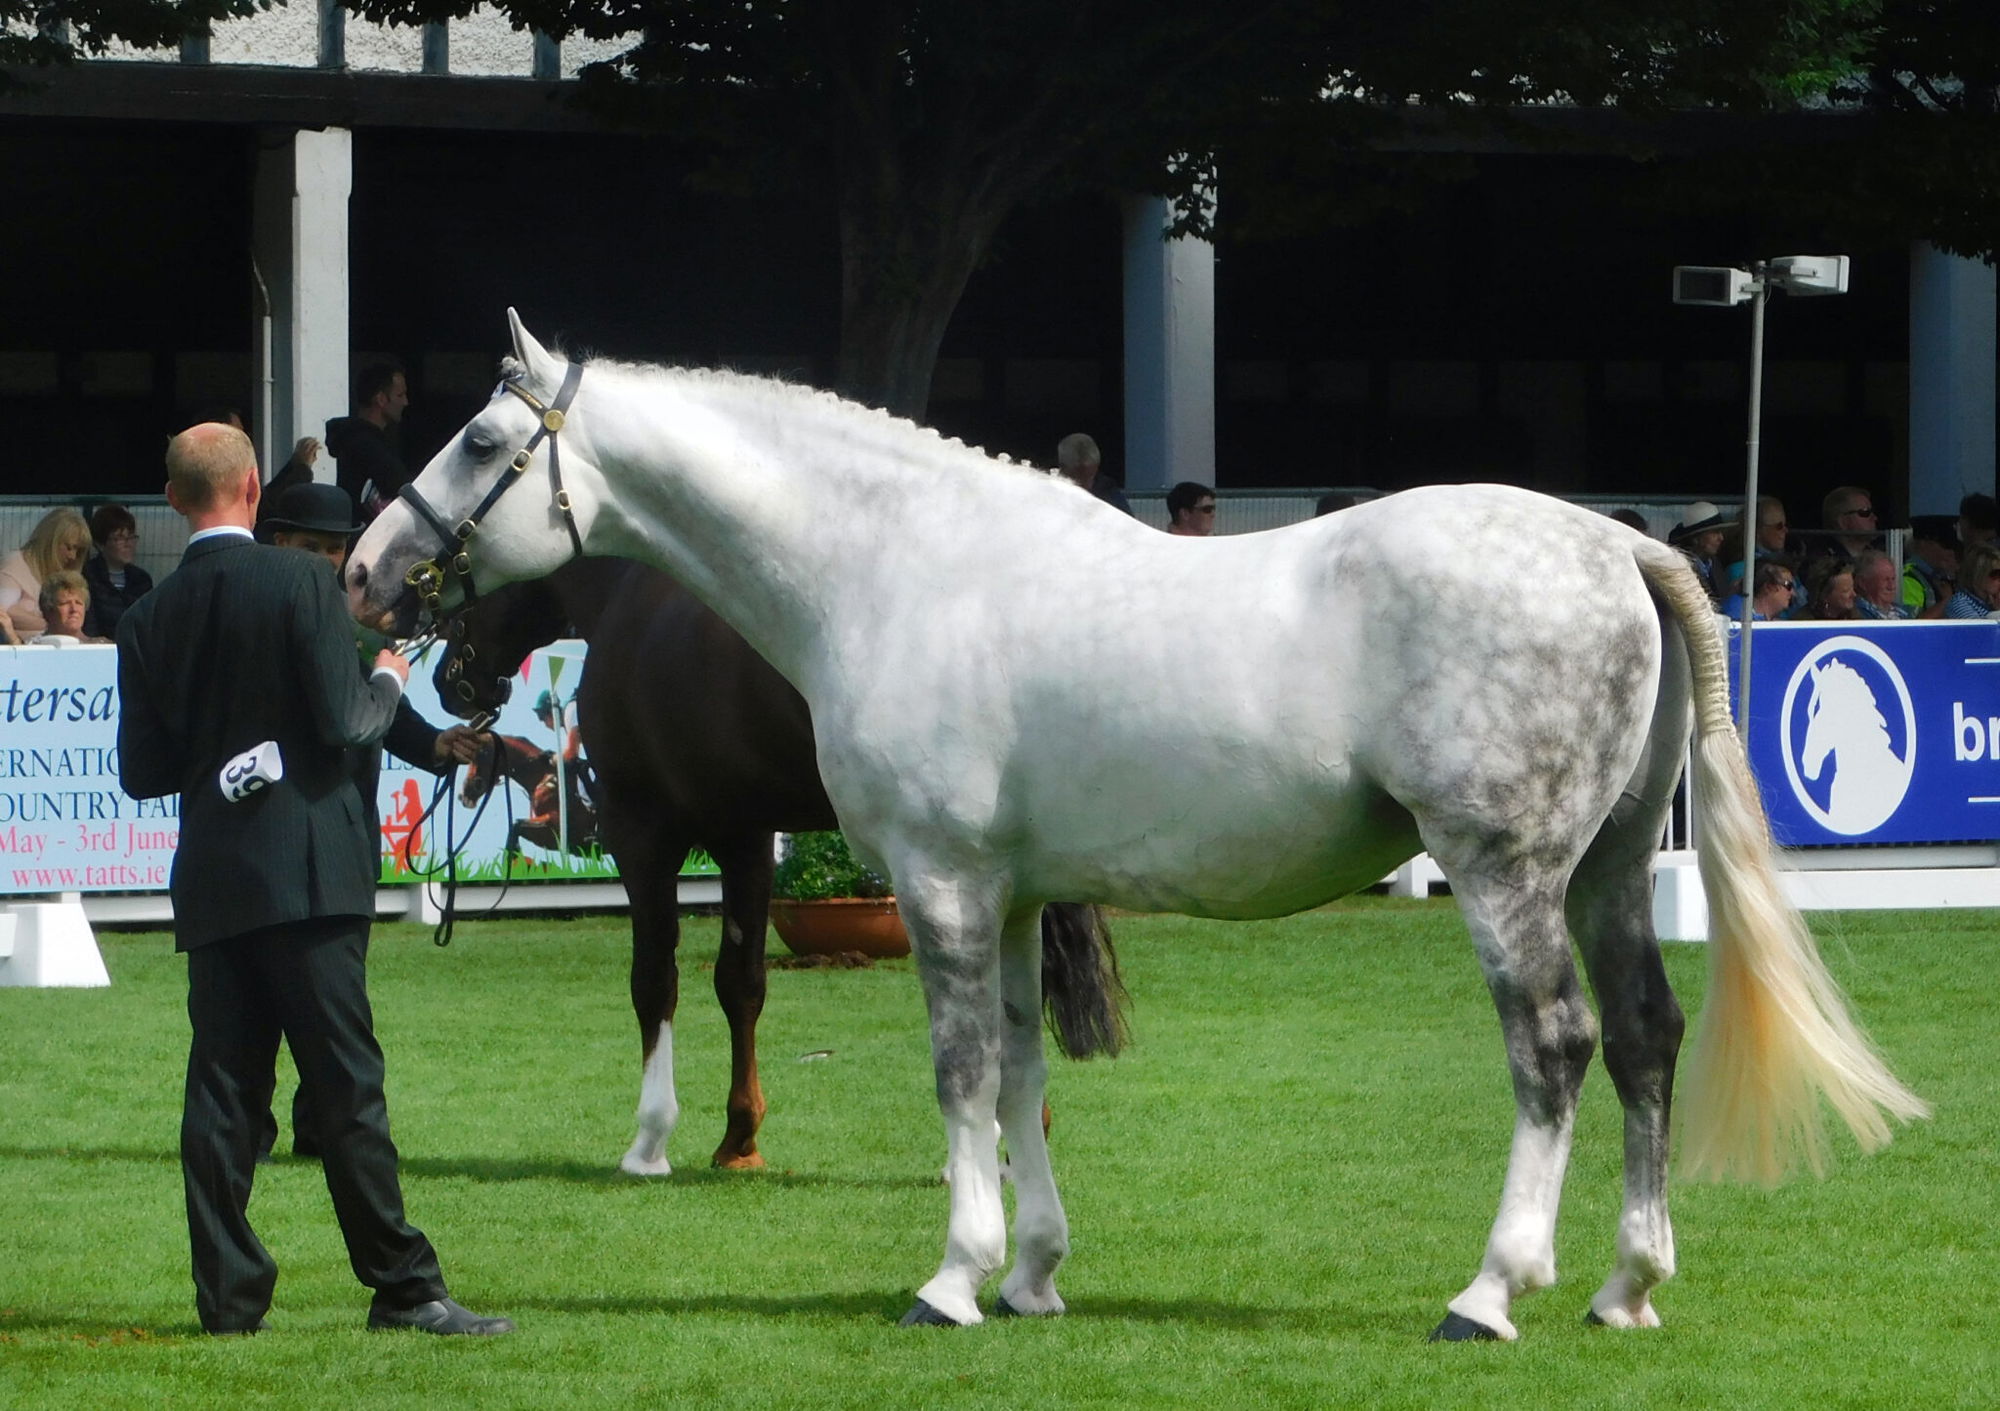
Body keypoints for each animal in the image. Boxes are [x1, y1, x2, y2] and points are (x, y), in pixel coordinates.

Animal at [432, 553, 1124, 1174]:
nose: (446, 679)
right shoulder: (743, 833)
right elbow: (740, 982)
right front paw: (739, 1139)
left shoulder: (641, 830)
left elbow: (654, 979)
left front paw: (650, 1141)